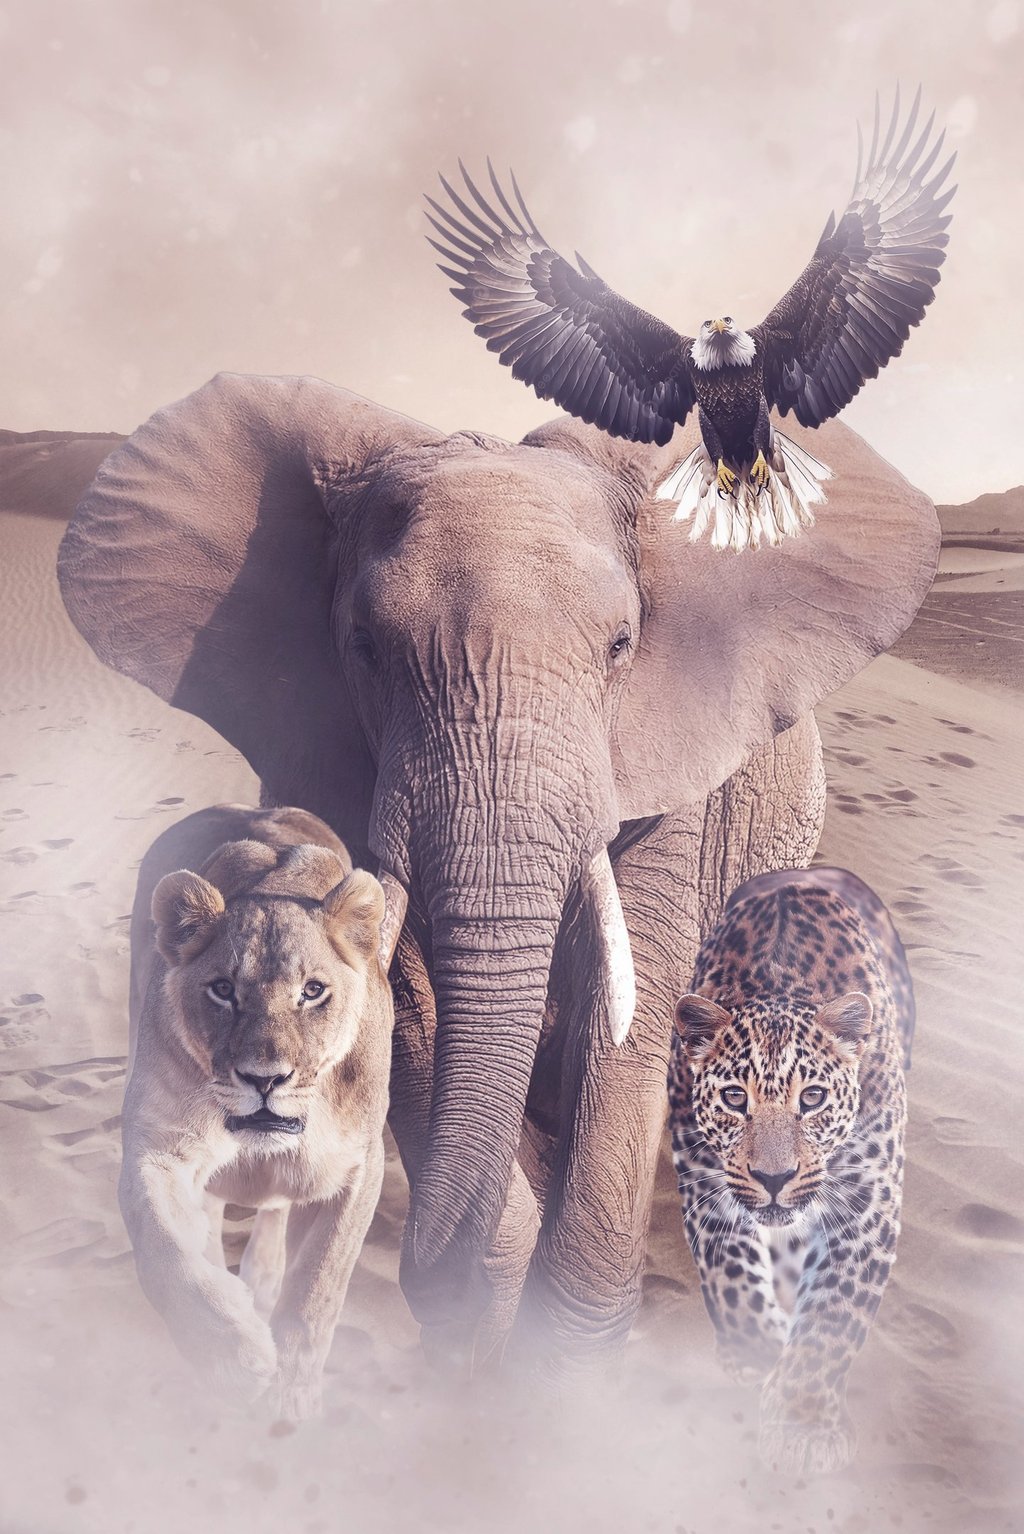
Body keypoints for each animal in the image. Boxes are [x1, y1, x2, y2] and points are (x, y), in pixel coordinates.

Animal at [122, 804, 396, 1419]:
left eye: (313, 991)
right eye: (223, 990)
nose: (264, 1079)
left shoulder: (360, 1165)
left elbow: (320, 1282)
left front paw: (292, 1391)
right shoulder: (155, 1146)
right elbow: (163, 1250)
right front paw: (232, 1353)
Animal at [667, 865, 914, 1475]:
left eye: (814, 1097)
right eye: (735, 1098)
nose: (774, 1179)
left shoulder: (867, 1205)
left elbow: (834, 1316)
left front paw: (804, 1420)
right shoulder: (705, 1186)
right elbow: (731, 1282)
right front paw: (759, 1356)